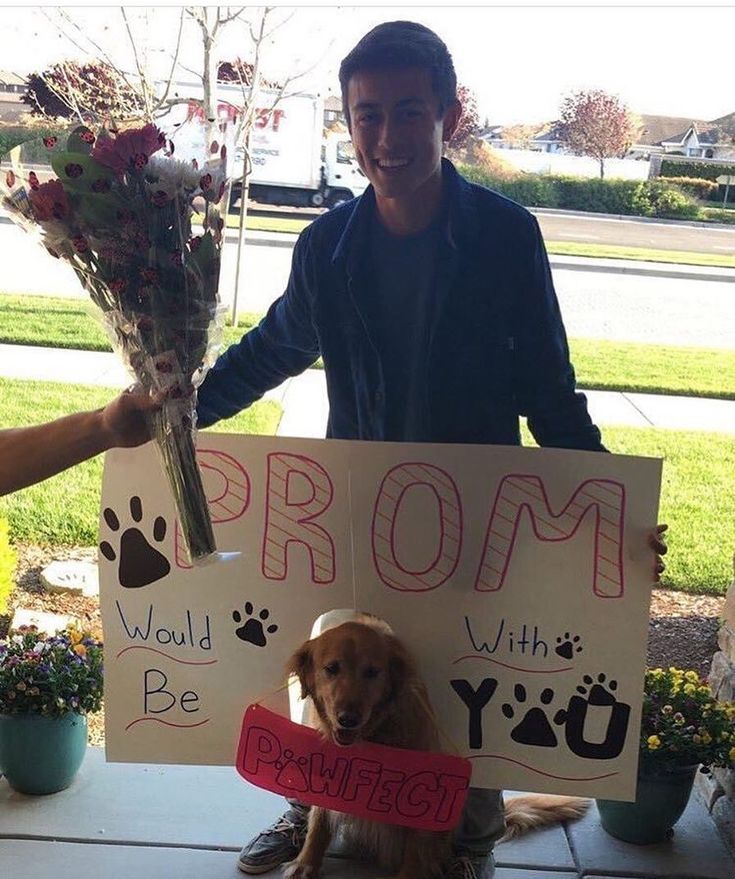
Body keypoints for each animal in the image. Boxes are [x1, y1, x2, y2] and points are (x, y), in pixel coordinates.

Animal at [284, 612, 588, 879]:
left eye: (372, 672)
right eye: (331, 669)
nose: (348, 719)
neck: (375, 734)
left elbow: (416, 848)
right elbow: (319, 822)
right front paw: (306, 863)